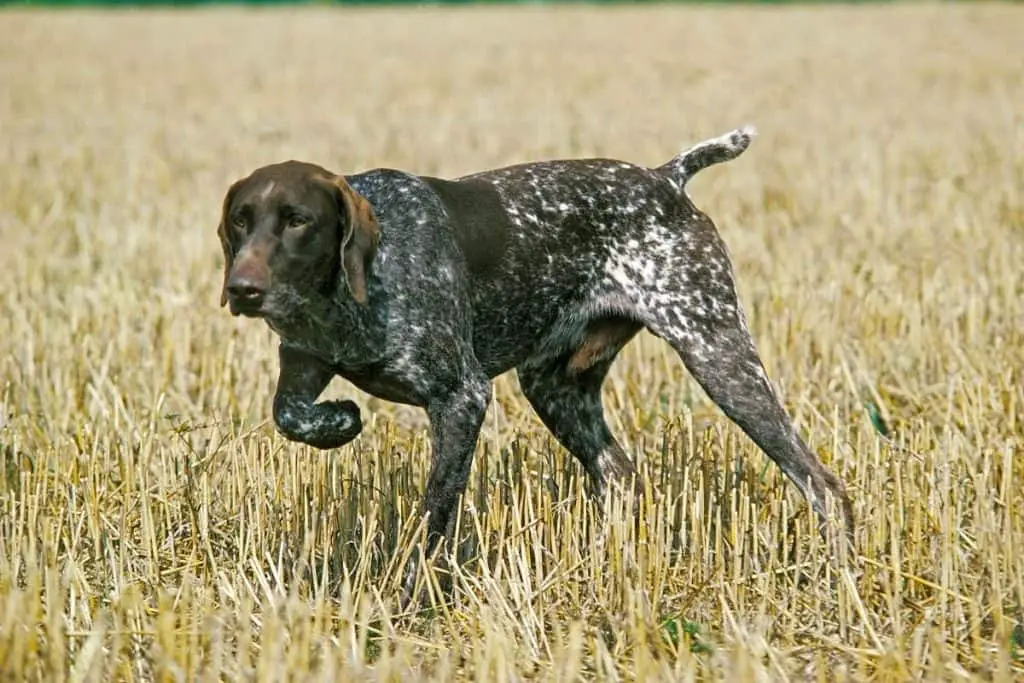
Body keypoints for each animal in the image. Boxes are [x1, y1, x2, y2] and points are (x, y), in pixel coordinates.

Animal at [218, 125, 856, 602]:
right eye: (240, 222)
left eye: (298, 220)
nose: (242, 289)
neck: (350, 294)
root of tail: (665, 178)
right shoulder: (302, 359)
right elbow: (288, 413)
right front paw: (337, 424)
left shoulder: (462, 397)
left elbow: (435, 513)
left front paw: (411, 596)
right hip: (555, 386)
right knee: (620, 475)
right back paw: (604, 568)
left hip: (716, 351)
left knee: (821, 484)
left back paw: (838, 576)